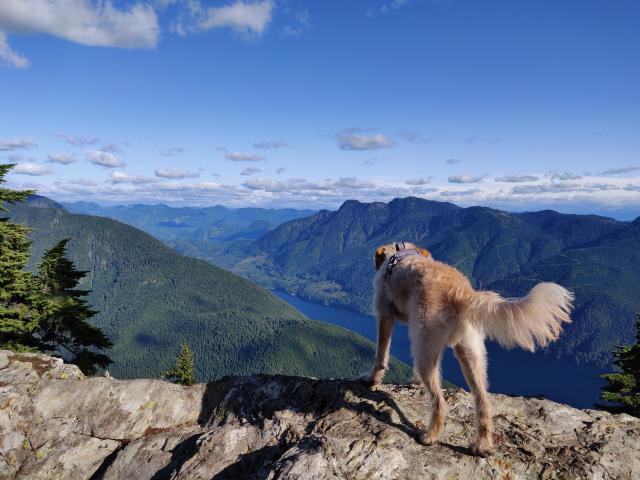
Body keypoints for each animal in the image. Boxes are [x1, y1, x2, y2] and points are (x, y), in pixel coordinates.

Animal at [360, 242, 576, 456]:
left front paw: (371, 380)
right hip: (470, 354)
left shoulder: (385, 315)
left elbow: (381, 354)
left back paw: (429, 436)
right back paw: (482, 444)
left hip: (428, 349)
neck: (401, 254)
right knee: (483, 402)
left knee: (440, 404)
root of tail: (462, 292)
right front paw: (414, 380)